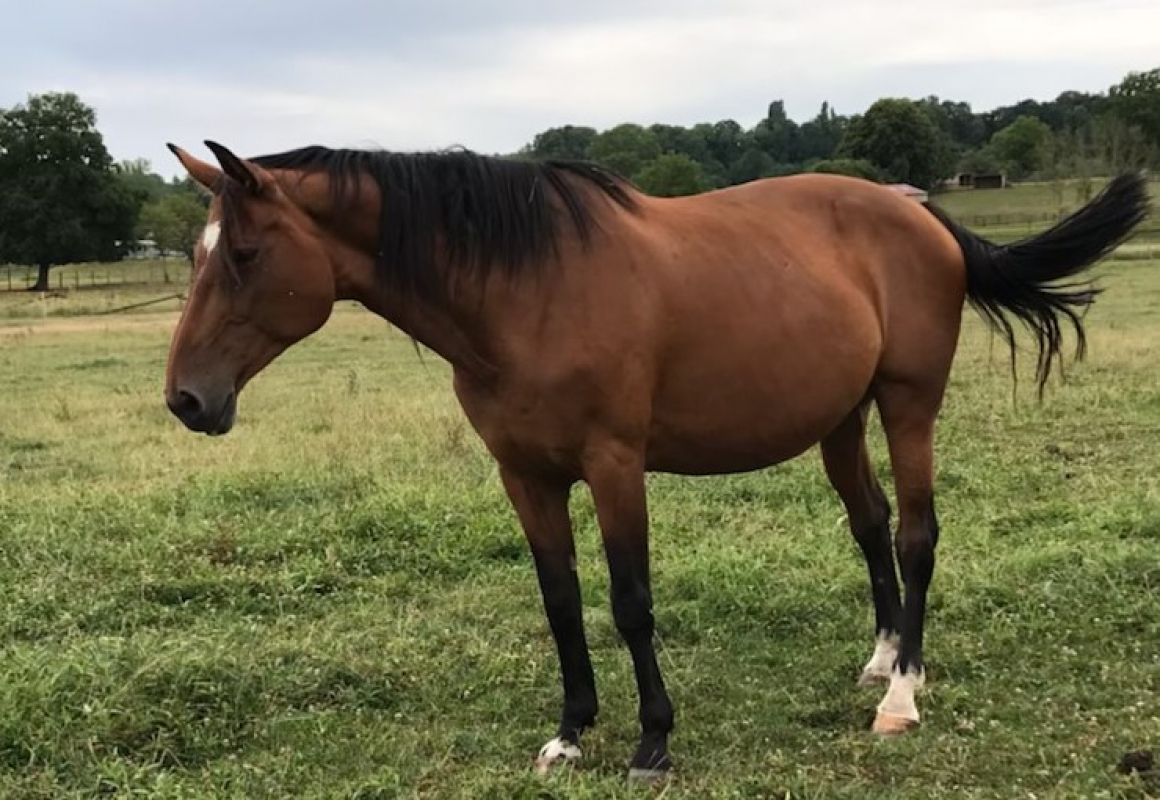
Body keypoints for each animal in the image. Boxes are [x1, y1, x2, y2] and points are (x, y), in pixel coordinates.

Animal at [163, 140, 1148, 780]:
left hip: (909, 405)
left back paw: (900, 694)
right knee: (870, 527)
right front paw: (568, 734)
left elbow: (630, 602)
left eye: (243, 253)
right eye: (197, 254)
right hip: (839, 419)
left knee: (915, 535)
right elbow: (561, 603)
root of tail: (915, 211)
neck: (524, 290)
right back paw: (881, 656)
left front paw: (652, 741)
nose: (187, 400)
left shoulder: (613, 465)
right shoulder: (525, 476)